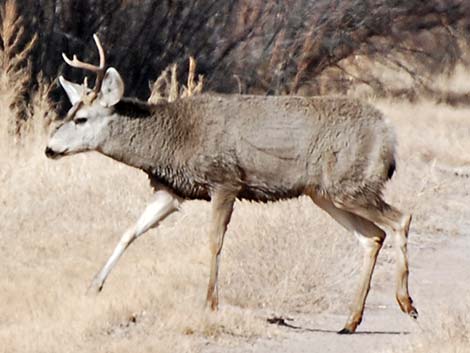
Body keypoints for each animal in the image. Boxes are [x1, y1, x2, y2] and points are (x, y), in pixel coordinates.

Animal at [45, 34, 418, 332]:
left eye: (81, 118)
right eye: (67, 114)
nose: (49, 148)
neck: (173, 137)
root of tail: (389, 136)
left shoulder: (225, 181)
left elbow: (214, 242)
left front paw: (209, 303)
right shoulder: (172, 191)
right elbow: (130, 232)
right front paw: (93, 286)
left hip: (351, 184)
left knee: (401, 218)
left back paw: (406, 303)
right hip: (326, 193)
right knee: (373, 236)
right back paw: (351, 322)